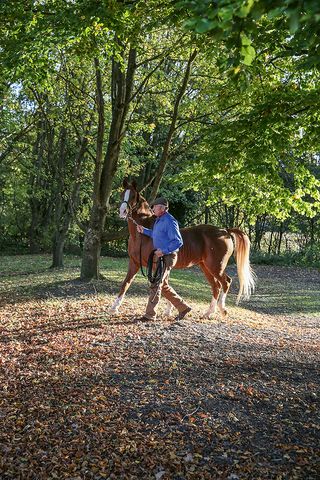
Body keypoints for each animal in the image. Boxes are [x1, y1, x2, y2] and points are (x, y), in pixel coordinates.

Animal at [110, 180, 255, 318]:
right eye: (122, 195)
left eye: (133, 196)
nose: (122, 212)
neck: (141, 235)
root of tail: (225, 231)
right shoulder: (134, 263)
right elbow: (126, 283)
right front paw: (114, 308)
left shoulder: (156, 265)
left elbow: (161, 286)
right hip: (205, 267)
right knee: (216, 286)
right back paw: (208, 313)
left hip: (216, 266)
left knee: (226, 282)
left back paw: (222, 310)